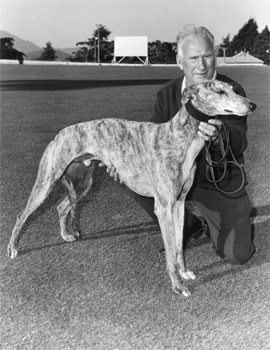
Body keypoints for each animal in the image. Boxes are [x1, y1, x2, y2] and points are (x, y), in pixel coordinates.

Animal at [6, 80, 255, 296]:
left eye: (232, 88)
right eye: (220, 92)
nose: (252, 105)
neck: (180, 137)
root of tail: (60, 134)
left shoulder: (179, 203)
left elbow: (177, 246)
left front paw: (184, 272)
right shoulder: (164, 207)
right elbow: (170, 251)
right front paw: (177, 286)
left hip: (83, 183)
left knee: (61, 206)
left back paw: (66, 233)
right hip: (46, 182)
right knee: (22, 214)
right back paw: (13, 248)